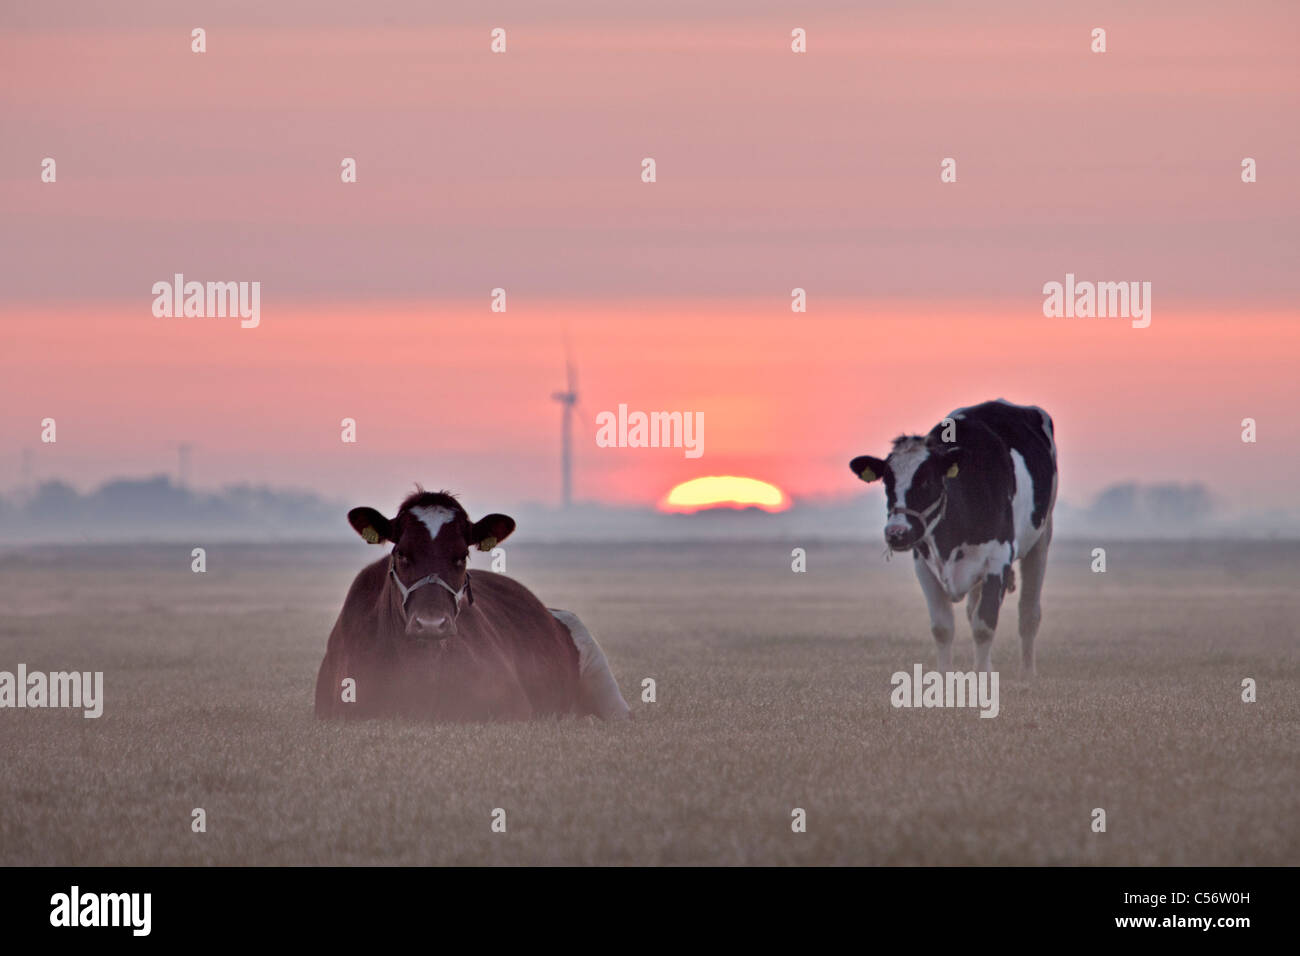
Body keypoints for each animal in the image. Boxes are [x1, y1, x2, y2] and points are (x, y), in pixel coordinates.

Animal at [848, 399, 1057, 676]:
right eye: (886, 483)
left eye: (927, 481)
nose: (896, 532)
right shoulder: (924, 564)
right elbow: (943, 628)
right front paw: (945, 677)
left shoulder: (998, 558)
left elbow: (984, 625)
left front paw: (983, 677)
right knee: (972, 610)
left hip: (1042, 536)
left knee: (1029, 612)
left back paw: (1027, 672)